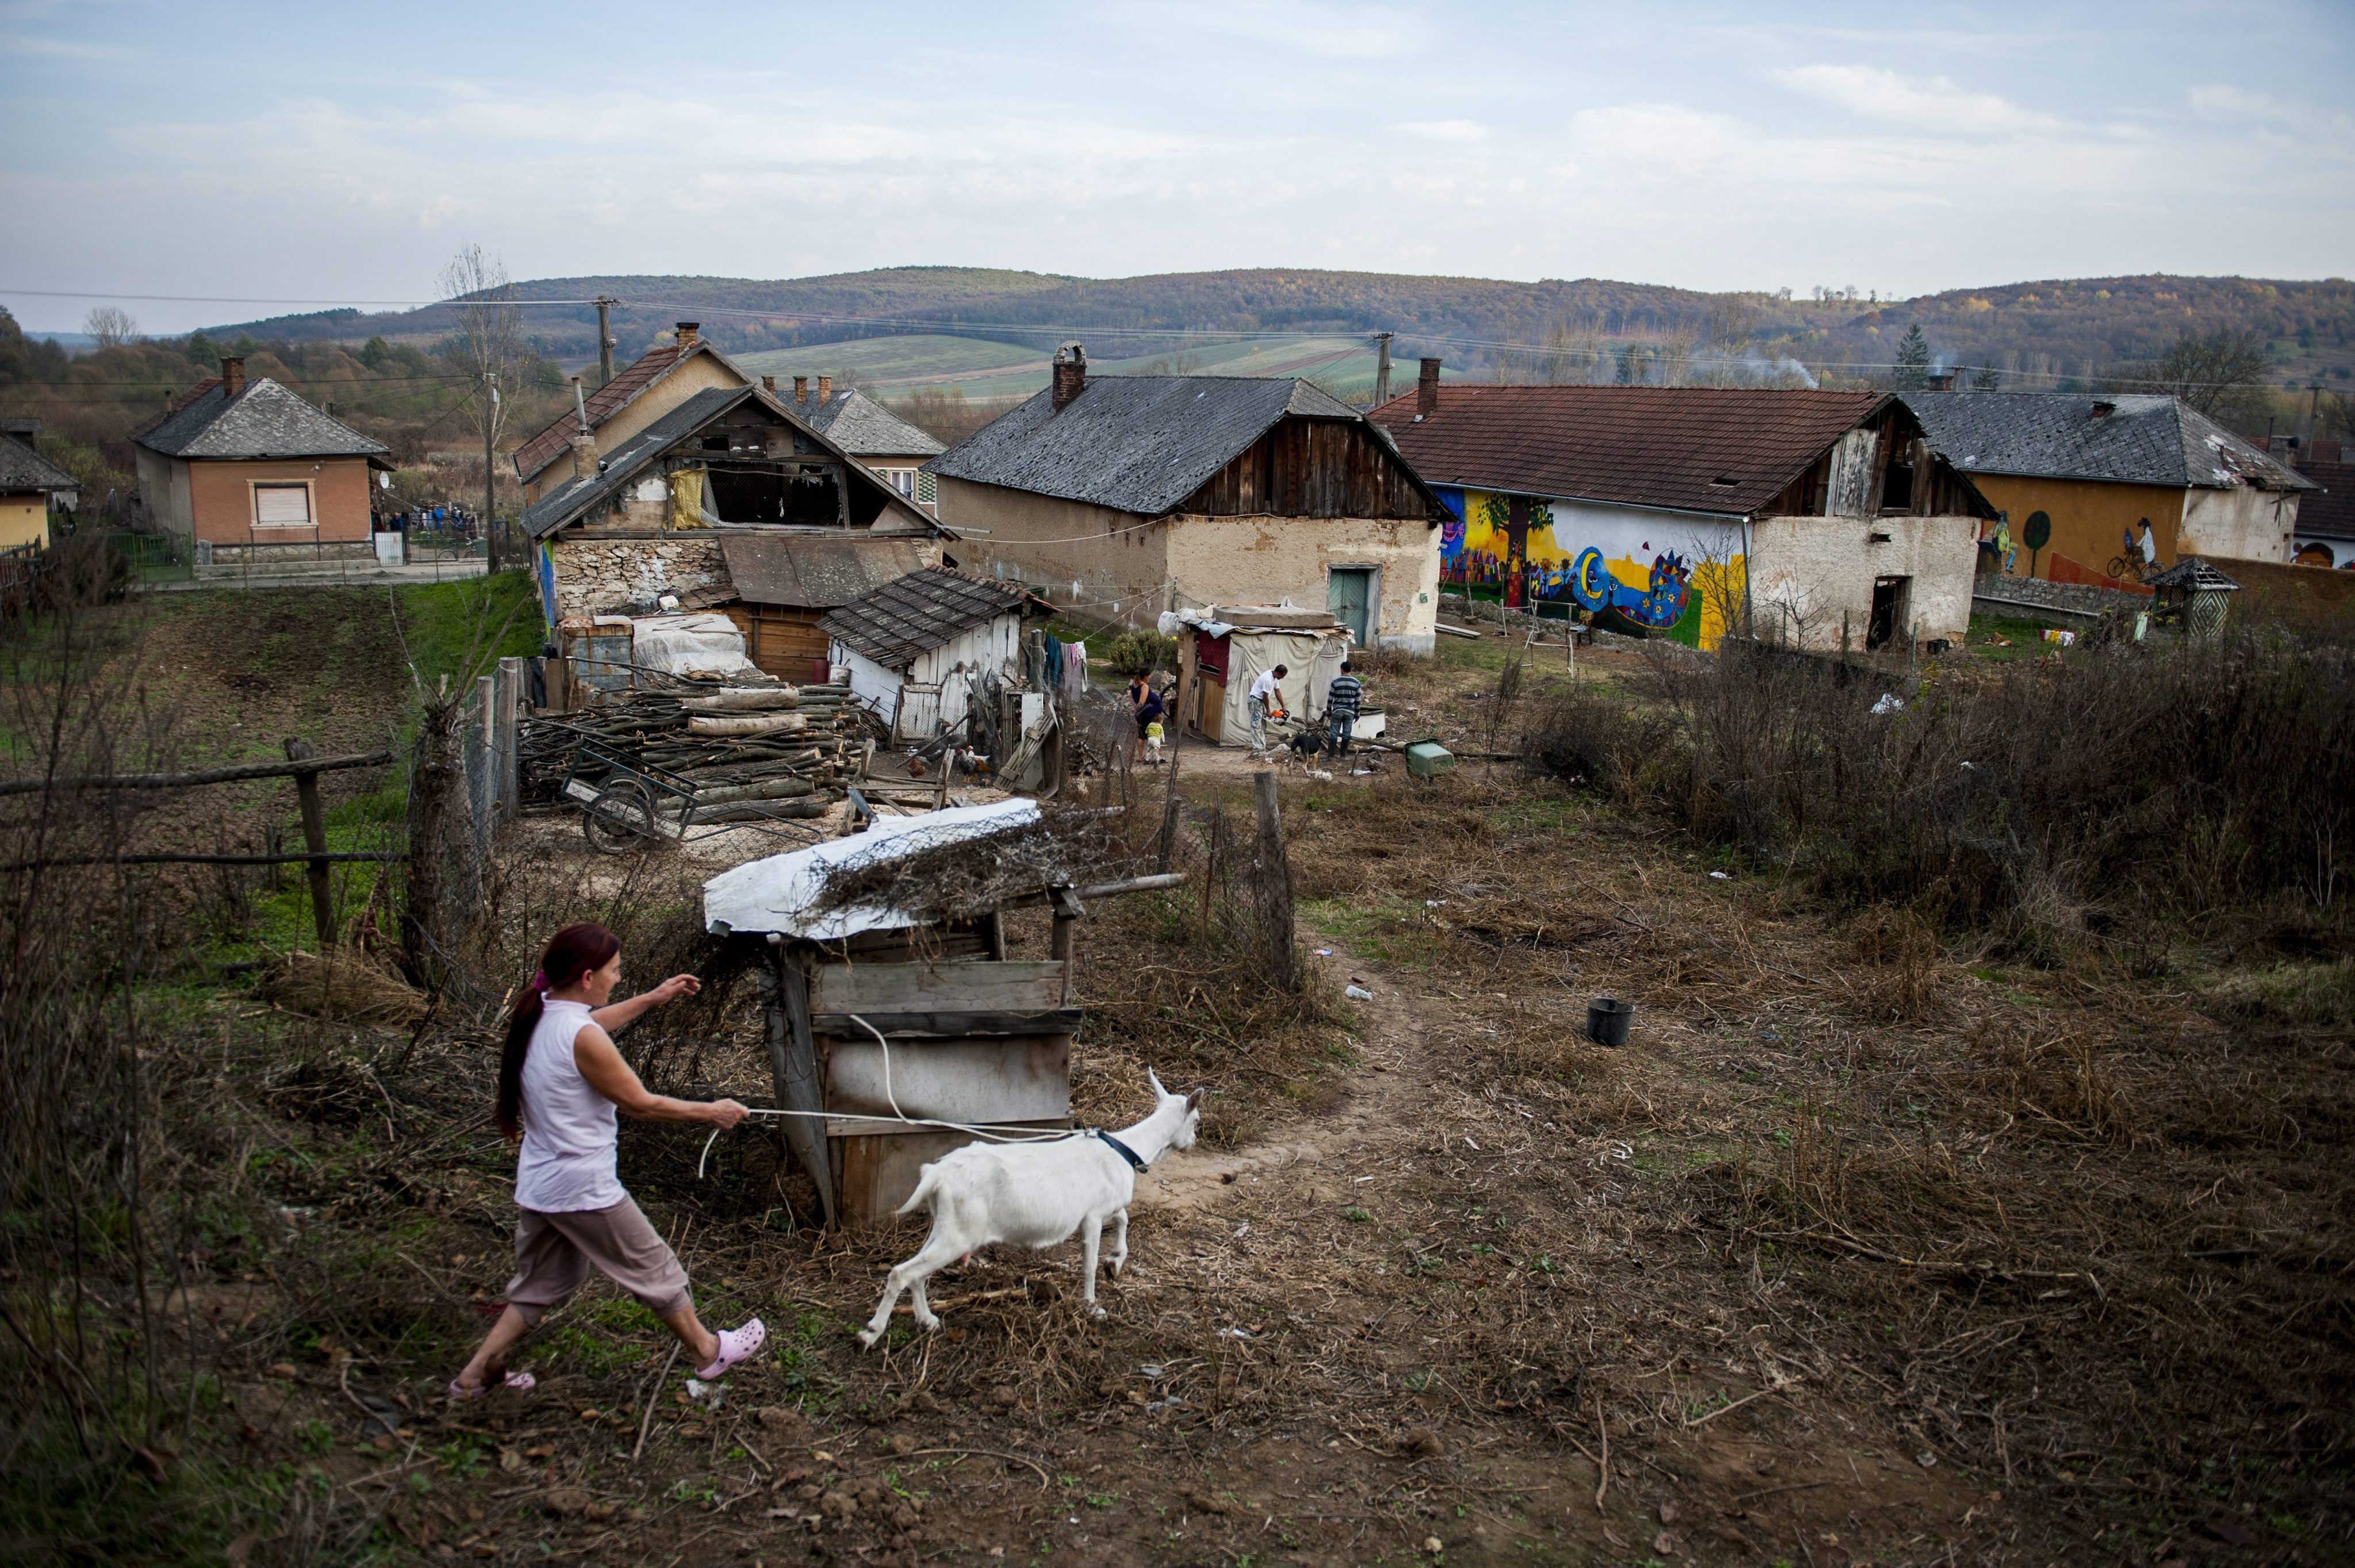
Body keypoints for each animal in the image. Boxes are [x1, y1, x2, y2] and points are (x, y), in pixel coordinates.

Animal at [852, 1068, 1196, 1347]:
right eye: (1197, 1120)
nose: (1193, 1142)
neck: (1127, 1149)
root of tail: (936, 1174)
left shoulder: (1104, 1208)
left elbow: (1123, 1218)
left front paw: (1115, 1262)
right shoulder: (1093, 1215)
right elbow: (1089, 1262)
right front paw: (1093, 1305)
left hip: (945, 1224)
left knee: (917, 1272)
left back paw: (927, 1321)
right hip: (960, 1233)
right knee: (901, 1272)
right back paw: (871, 1333)